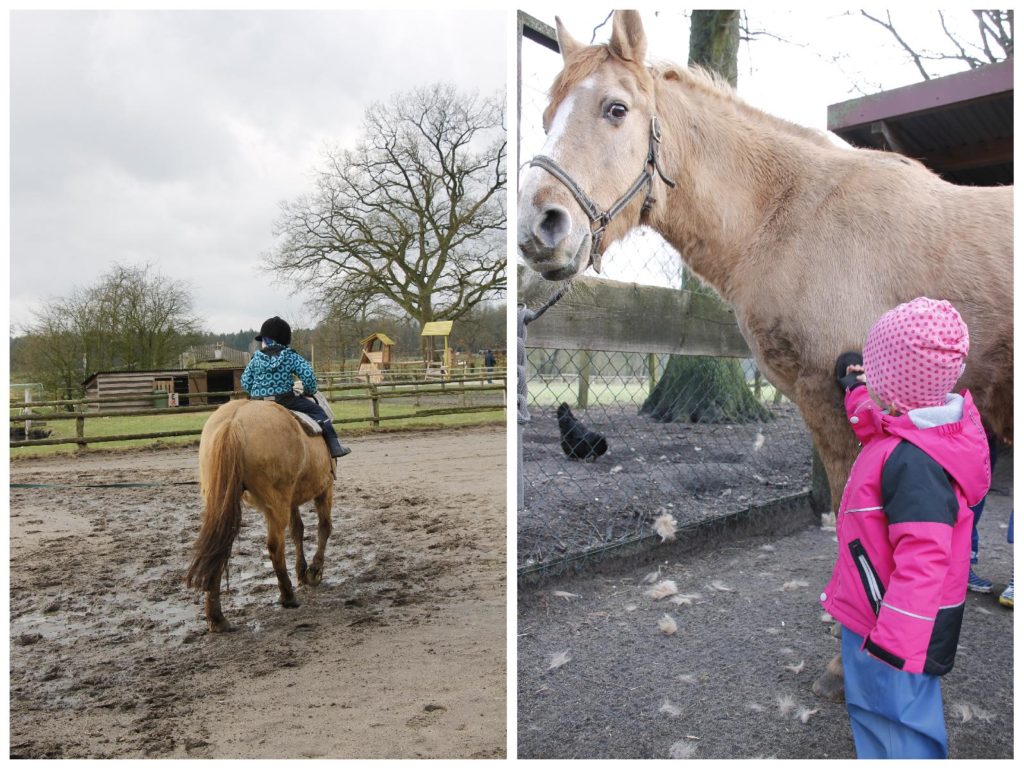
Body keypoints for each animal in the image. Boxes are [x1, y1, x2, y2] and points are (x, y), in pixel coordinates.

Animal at [184, 399, 335, 634]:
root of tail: (233, 422)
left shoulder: (292, 501)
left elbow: (297, 531)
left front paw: (302, 572)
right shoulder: (325, 489)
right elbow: (324, 528)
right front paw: (313, 572)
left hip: (222, 503)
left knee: (218, 549)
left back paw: (217, 618)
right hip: (277, 503)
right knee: (275, 547)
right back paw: (288, 596)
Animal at [516, 10, 1011, 696]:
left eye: (615, 109)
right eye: (546, 117)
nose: (538, 227)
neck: (793, 215)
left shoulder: (843, 410)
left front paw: (849, 662)